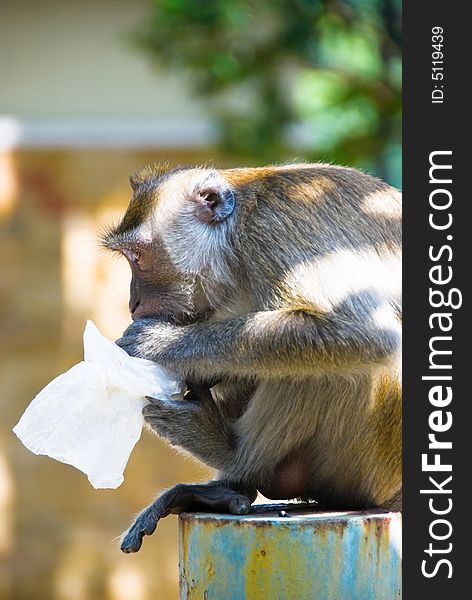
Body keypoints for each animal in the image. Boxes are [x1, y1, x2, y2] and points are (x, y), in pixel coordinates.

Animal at [101, 163, 400, 552]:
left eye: (138, 258)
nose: (132, 303)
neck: (233, 245)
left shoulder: (272, 232)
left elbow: (366, 331)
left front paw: (160, 344)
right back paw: (228, 486)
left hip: (367, 468)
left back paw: (234, 458)